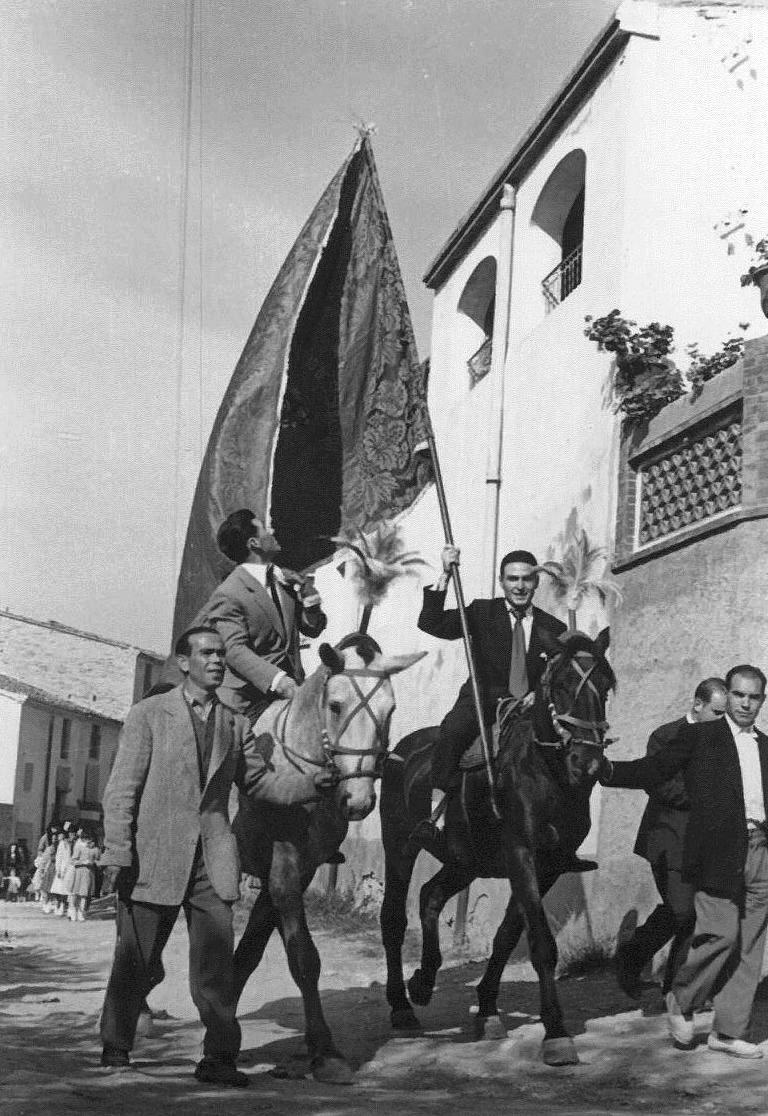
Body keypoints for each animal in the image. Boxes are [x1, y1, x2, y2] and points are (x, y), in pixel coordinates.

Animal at [234, 638, 426, 1080]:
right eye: (336, 706)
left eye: (390, 710)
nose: (357, 801)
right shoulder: (283, 870)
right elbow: (304, 957)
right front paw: (324, 1049)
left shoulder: (295, 872)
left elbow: (251, 950)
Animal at [381, 629, 616, 1062]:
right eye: (561, 685)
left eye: (605, 686)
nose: (588, 763)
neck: (545, 773)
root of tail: (402, 749)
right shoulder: (521, 855)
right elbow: (540, 943)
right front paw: (556, 1032)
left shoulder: (548, 866)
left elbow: (508, 936)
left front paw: (488, 1009)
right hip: (399, 847)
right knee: (393, 917)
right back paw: (402, 1006)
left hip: (464, 861)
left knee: (430, 895)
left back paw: (423, 981)